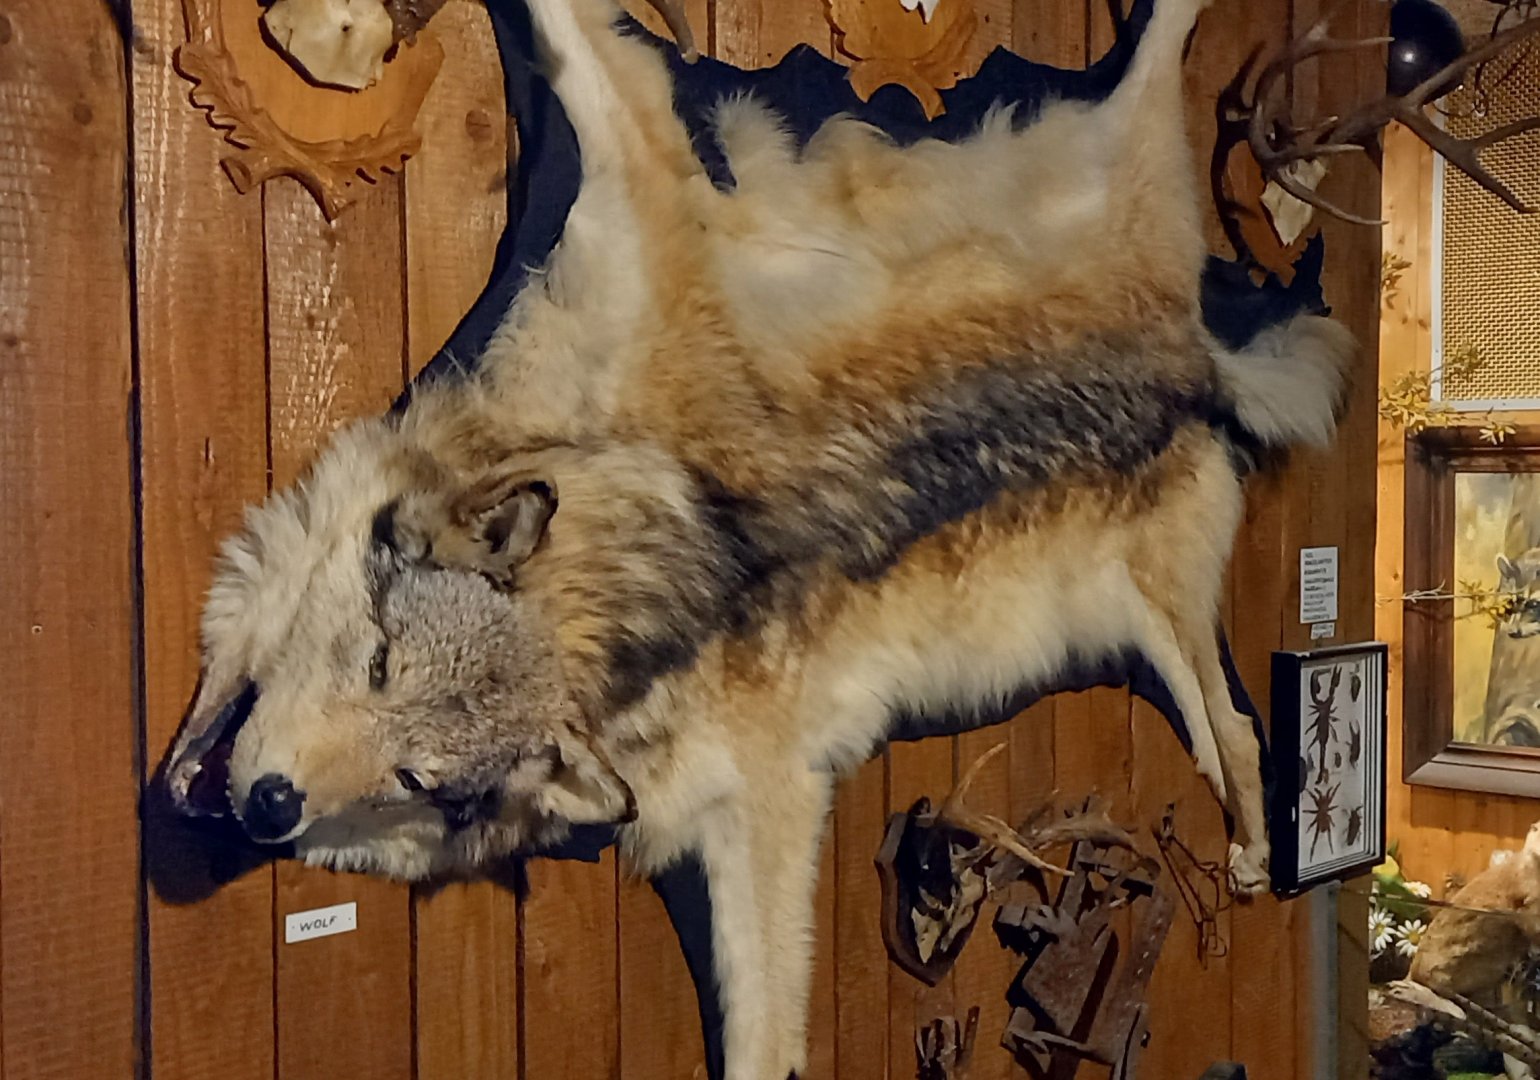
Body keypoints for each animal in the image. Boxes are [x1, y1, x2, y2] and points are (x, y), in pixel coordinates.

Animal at [164, 0, 1352, 1075]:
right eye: (376, 661)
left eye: (418, 776)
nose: (269, 805)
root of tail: (1196, 357)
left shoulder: (771, 799)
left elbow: (769, 1042)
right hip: (1150, 624)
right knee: (1229, 732)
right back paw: (1253, 854)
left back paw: (1255, 854)